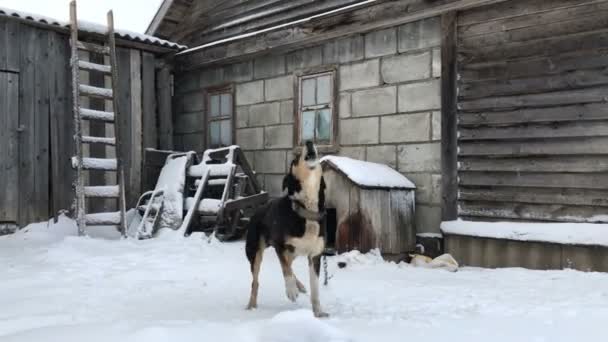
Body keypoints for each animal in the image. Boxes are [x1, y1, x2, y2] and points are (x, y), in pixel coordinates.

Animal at [245, 140, 328, 316]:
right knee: (256, 281)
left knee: (288, 264)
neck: (306, 210)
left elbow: (315, 289)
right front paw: (291, 290)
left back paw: (300, 285)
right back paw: (251, 306)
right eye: (295, 159)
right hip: (255, 252)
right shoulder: (280, 244)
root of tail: (257, 212)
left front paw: (318, 313)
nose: (309, 141)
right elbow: (285, 269)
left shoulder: (315, 255)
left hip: (293, 252)